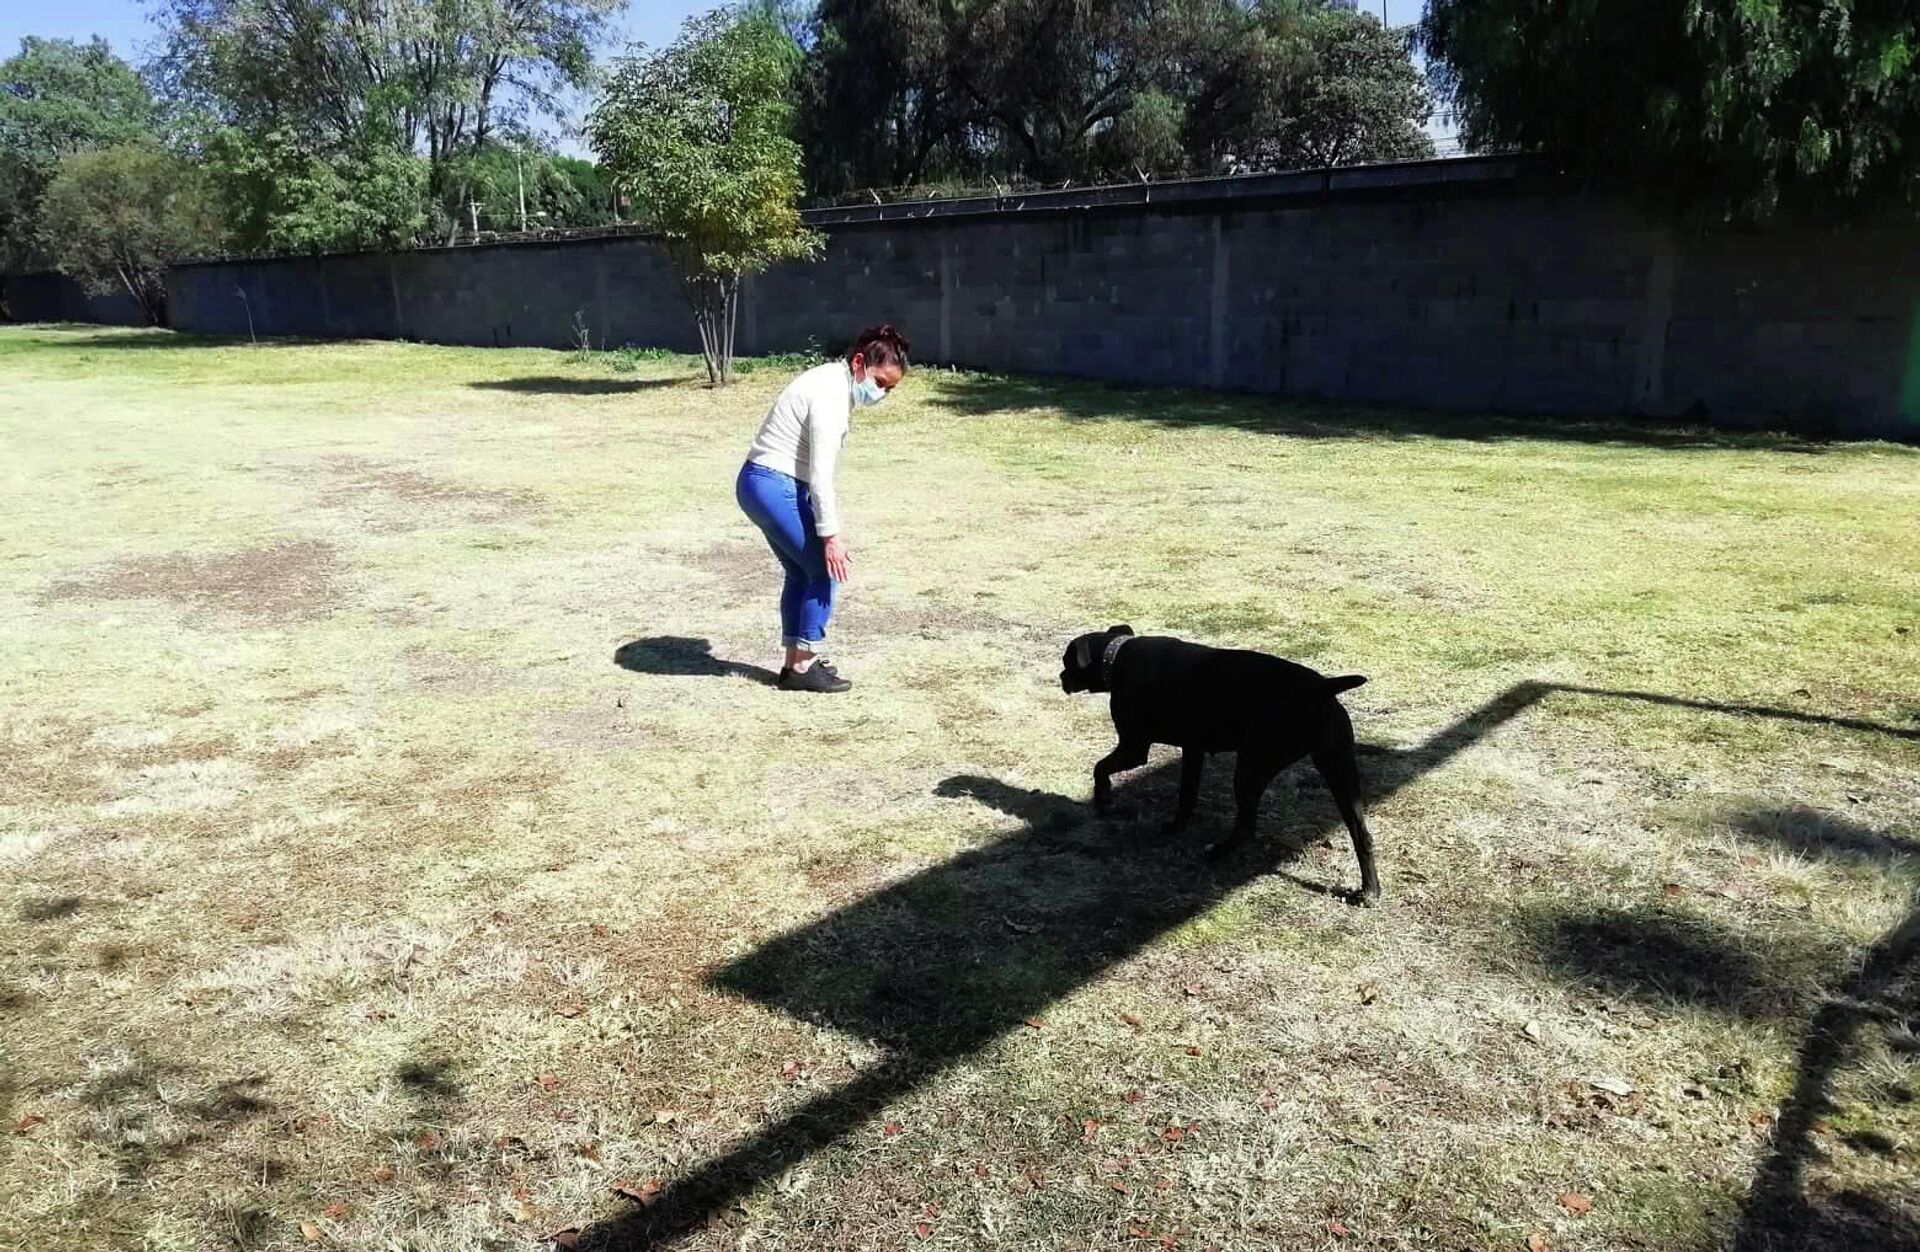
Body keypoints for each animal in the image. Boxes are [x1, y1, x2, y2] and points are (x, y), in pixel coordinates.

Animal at [1067, 622, 1382, 898]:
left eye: (1066, 661)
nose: (1061, 677)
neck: (1115, 656)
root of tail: (1321, 687)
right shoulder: (1193, 750)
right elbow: (1187, 796)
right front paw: (1176, 826)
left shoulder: (1133, 748)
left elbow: (1100, 768)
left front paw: (1103, 799)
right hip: (1339, 770)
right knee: (1361, 834)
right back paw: (1370, 891)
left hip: (1250, 768)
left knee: (1246, 826)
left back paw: (1217, 851)